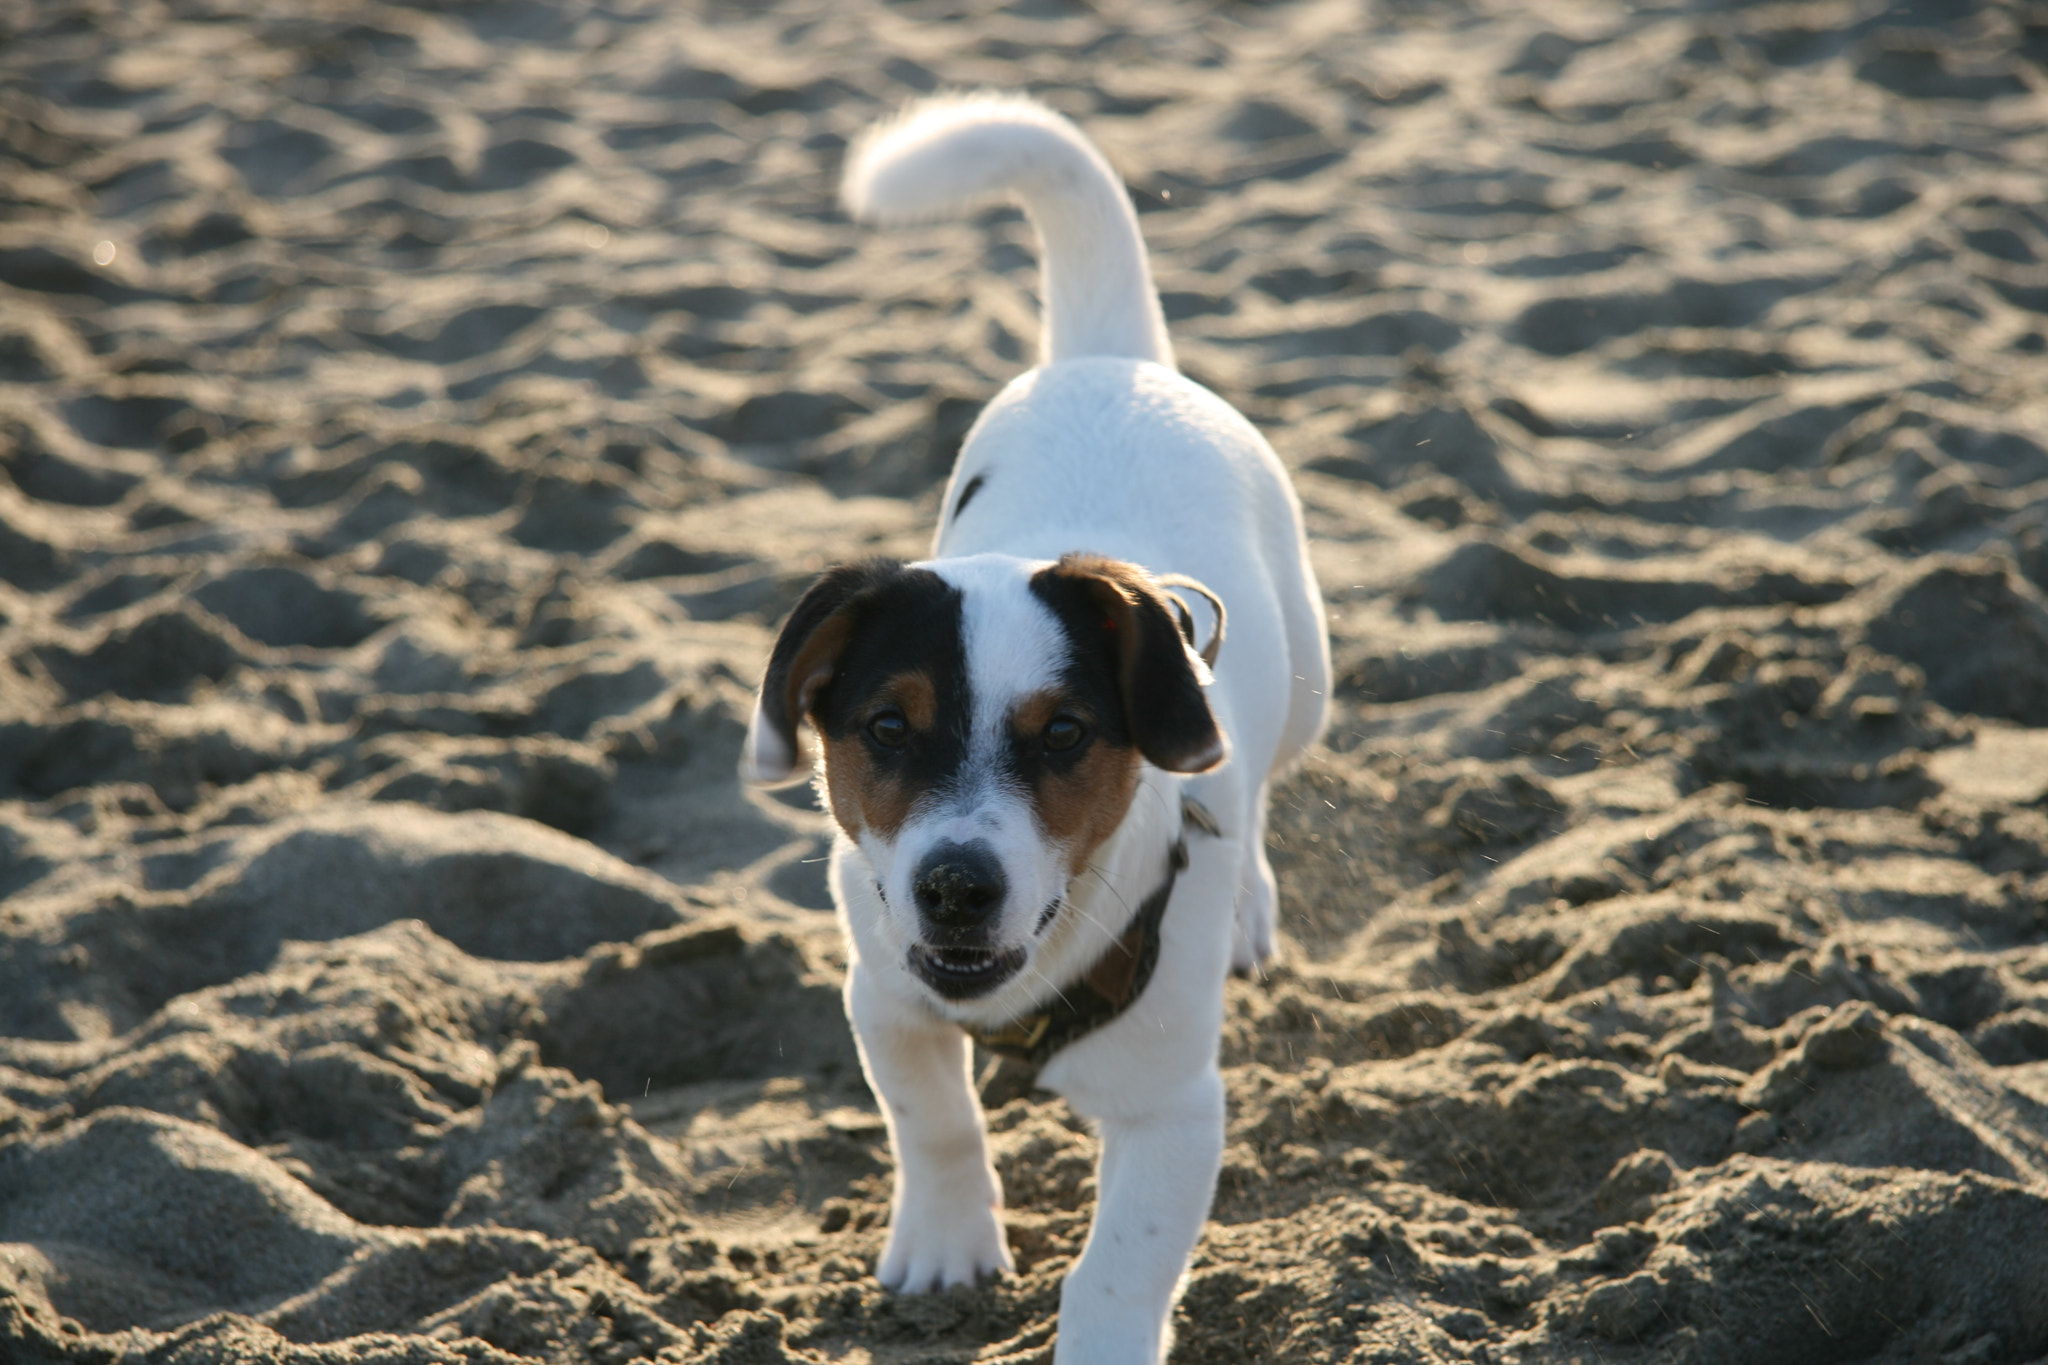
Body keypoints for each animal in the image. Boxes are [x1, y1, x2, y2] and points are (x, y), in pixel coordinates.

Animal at [745, 96, 1335, 1365]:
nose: (956, 889)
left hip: (1305, 683)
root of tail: (1106, 360)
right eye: (884, 727)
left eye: (1063, 735)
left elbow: (1116, 1270)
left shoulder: (1172, 1109)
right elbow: (934, 1123)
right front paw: (944, 1247)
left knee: (1262, 783)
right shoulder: (884, 999)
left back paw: (1249, 903)